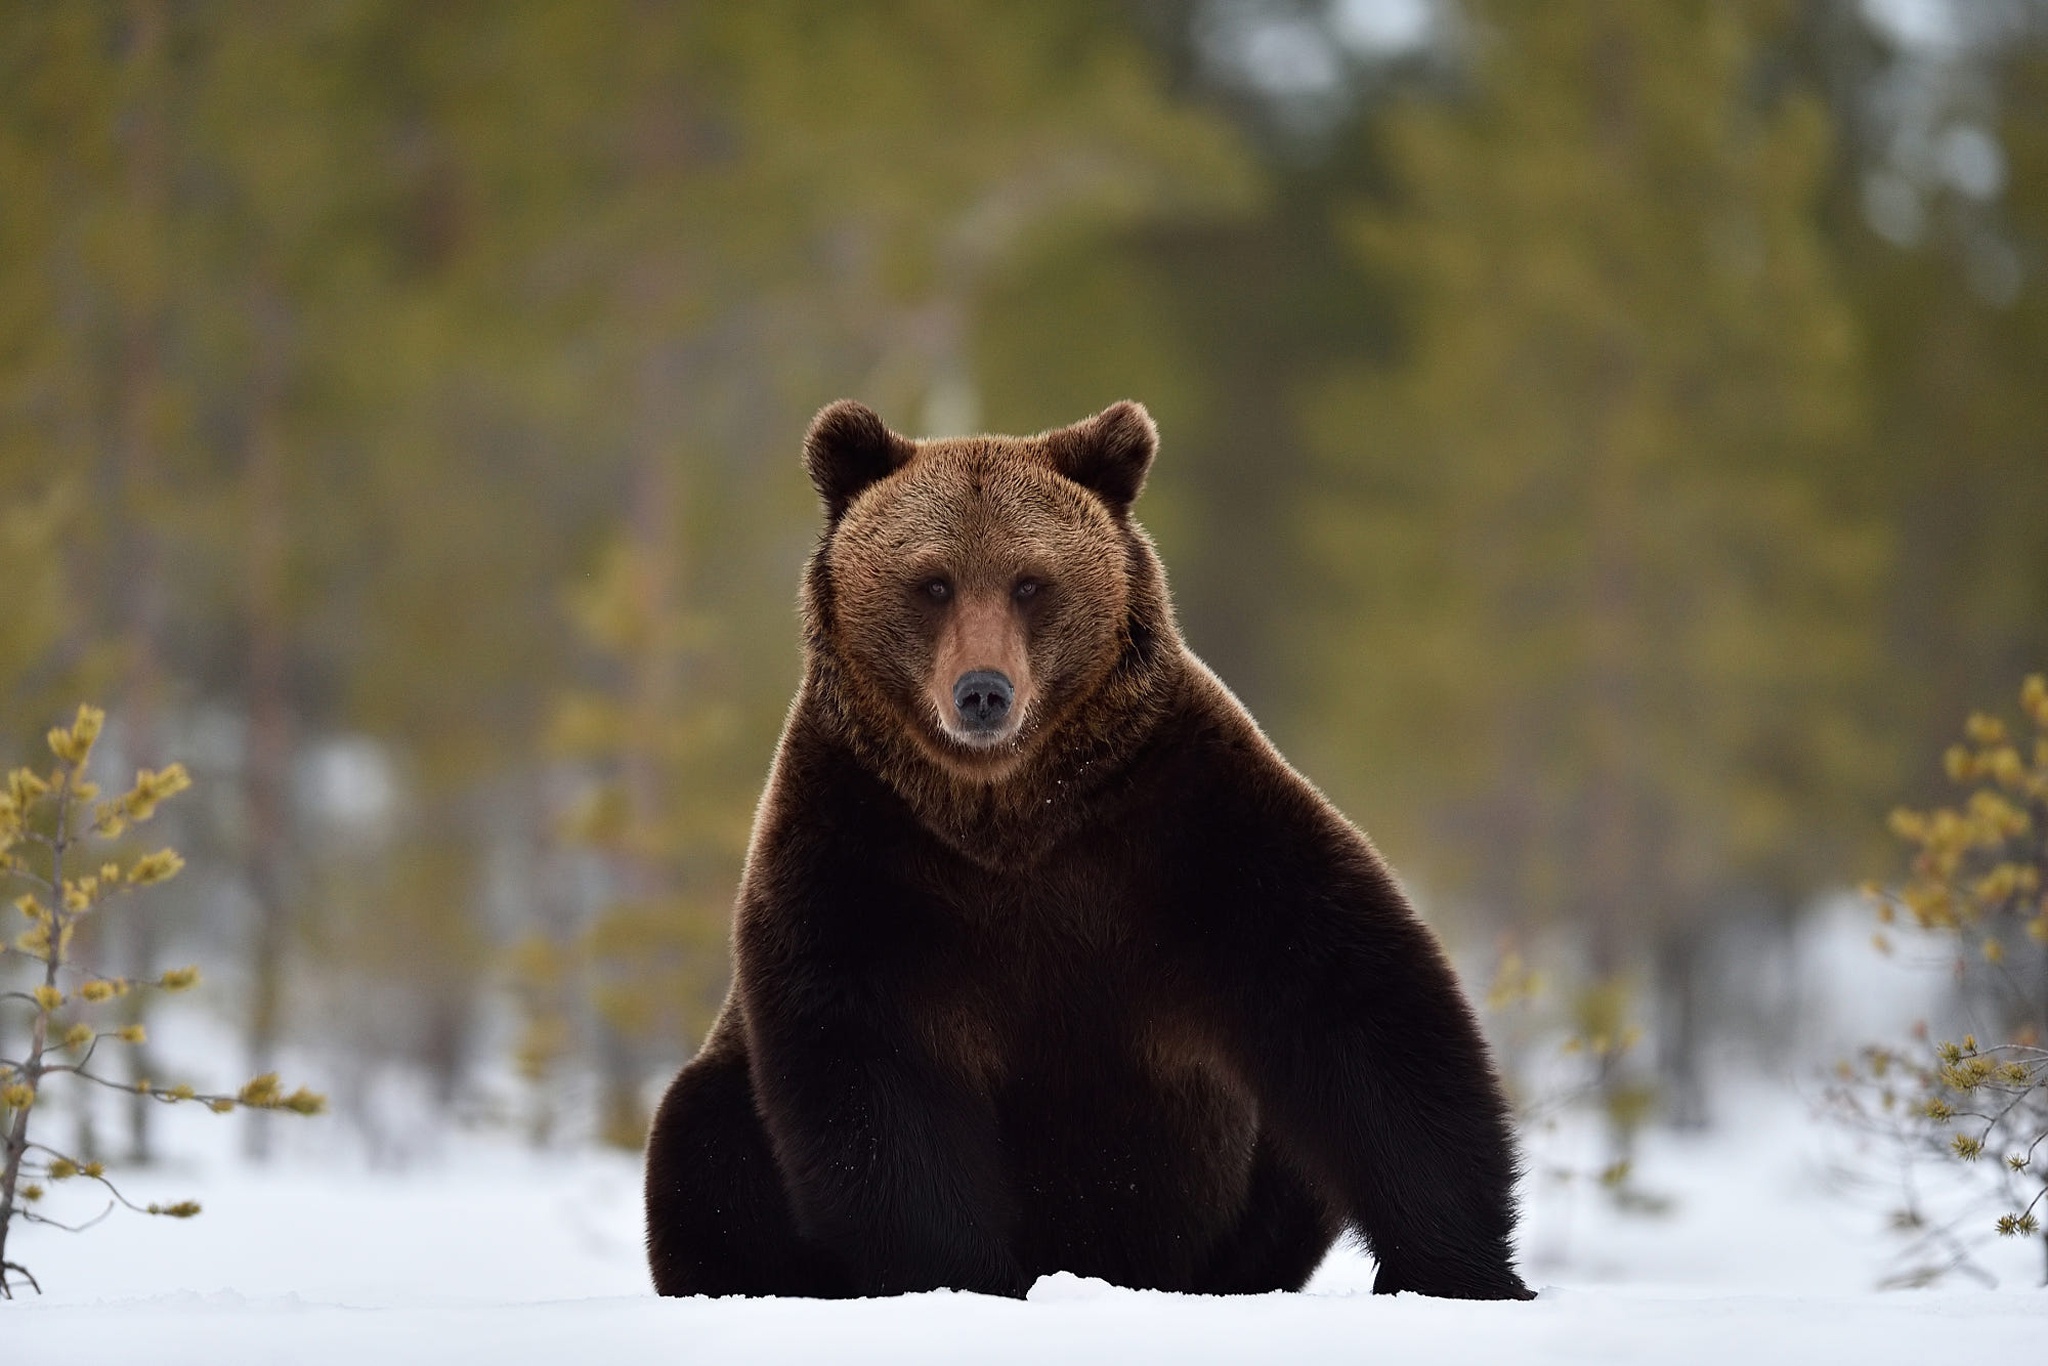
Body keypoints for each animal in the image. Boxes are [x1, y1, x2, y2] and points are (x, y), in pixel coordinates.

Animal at [647, 397, 1531, 1302]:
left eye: (1031, 582)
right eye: (933, 583)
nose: (984, 692)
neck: (1009, 812)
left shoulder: (1180, 822)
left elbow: (1352, 1003)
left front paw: (1457, 1268)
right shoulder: (862, 854)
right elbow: (874, 1079)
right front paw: (956, 1275)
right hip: (729, 1091)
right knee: (703, 1140)